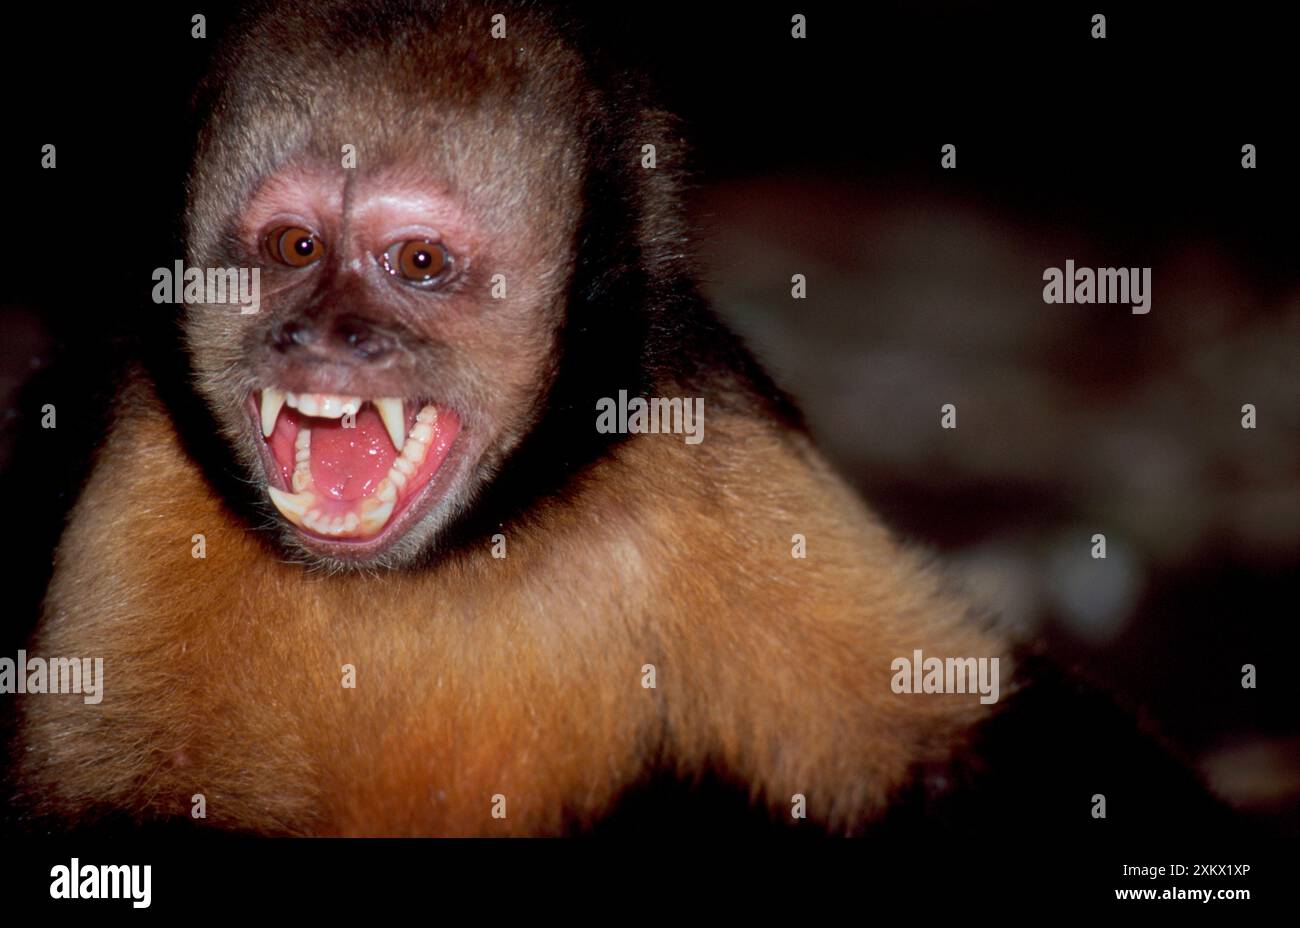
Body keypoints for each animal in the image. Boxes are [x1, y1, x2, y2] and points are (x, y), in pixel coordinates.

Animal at [10, 0, 1242, 837]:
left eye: (418, 264)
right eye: (294, 248)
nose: (321, 338)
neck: (433, 563)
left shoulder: (701, 423)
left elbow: (950, 746)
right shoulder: (139, 465)